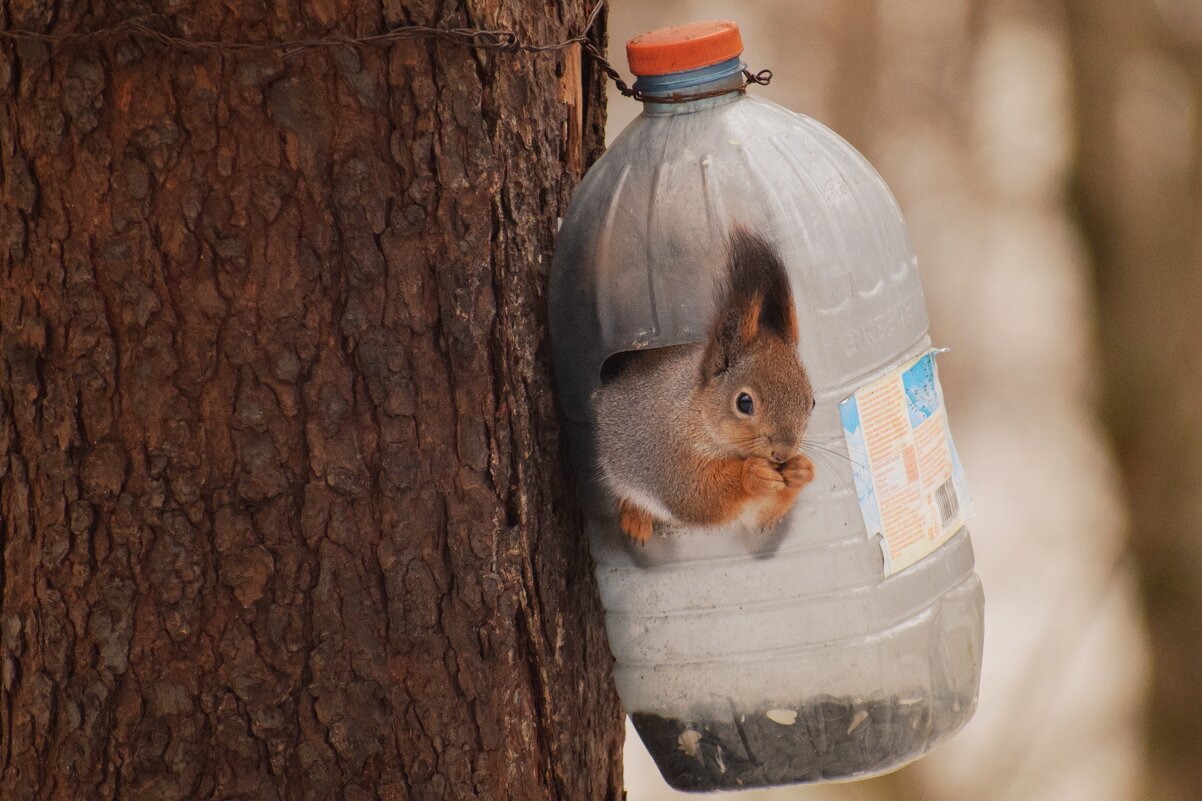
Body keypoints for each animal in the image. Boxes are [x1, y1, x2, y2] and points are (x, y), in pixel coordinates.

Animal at [598, 227, 822, 546]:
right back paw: (635, 519)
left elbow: (761, 515)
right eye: (744, 402)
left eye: (811, 402)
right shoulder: (671, 459)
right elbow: (698, 497)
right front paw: (752, 475)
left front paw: (801, 470)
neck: (697, 415)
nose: (783, 453)